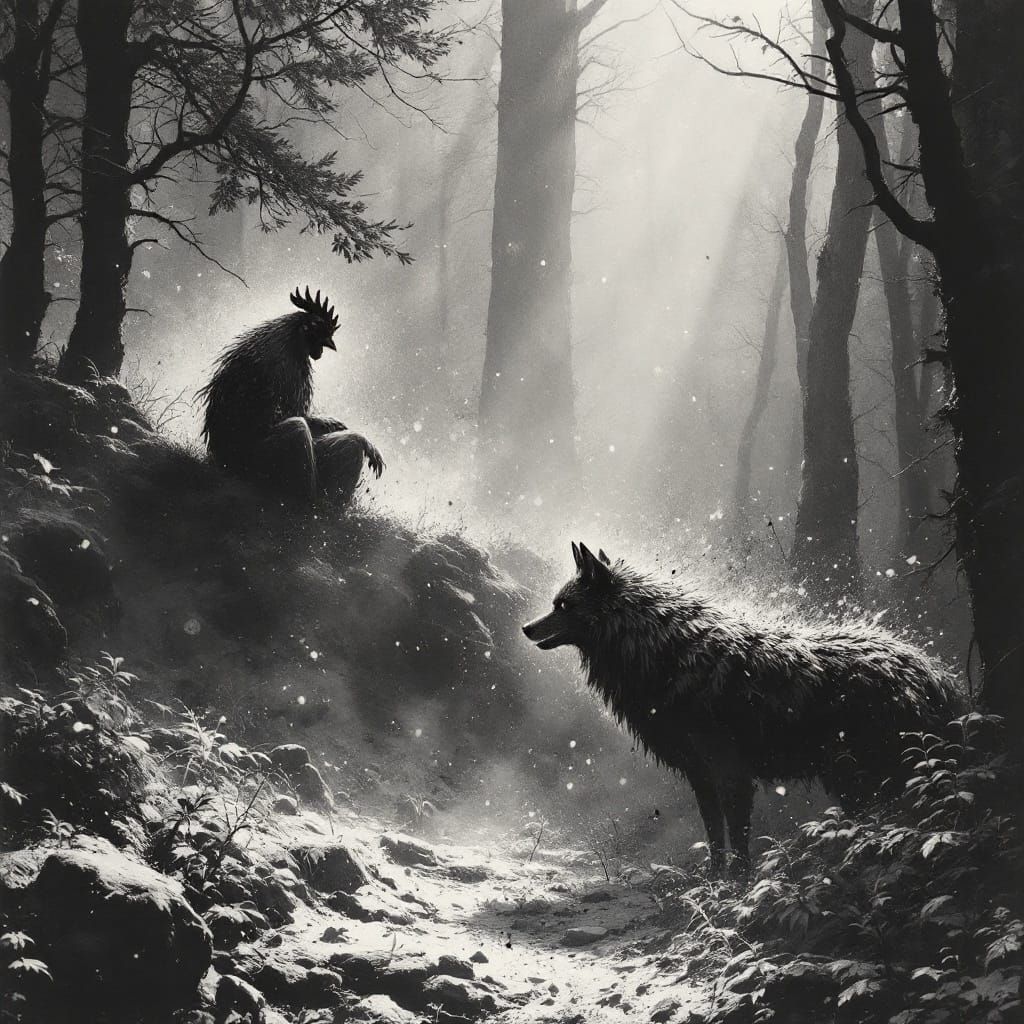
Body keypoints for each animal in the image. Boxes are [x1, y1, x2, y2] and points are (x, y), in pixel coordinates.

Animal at [523, 542, 962, 870]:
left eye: (562, 606)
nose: (526, 628)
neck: (665, 652)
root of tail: (939, 674)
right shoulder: (700, 776)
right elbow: (716, 840)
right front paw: (712, 883)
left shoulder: (732, 774)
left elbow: (739, 843)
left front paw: (736, 889)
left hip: (862, 778)